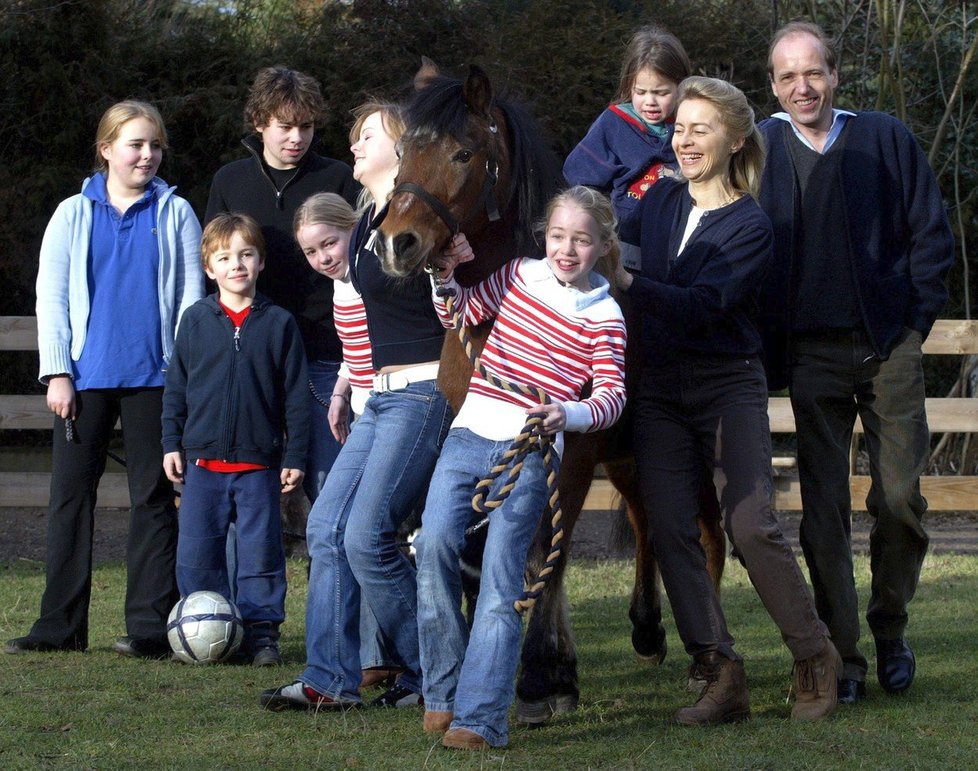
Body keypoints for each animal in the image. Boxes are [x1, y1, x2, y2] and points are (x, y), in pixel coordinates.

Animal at [374, 60, 724, 724]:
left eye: (463, 153)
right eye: (404, 151)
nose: (396, 242)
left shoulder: (573, 448)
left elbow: (549, 551)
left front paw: (543, 674)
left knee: (703, 532)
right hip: (630, 454)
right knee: (646, 520)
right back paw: (647, 628)